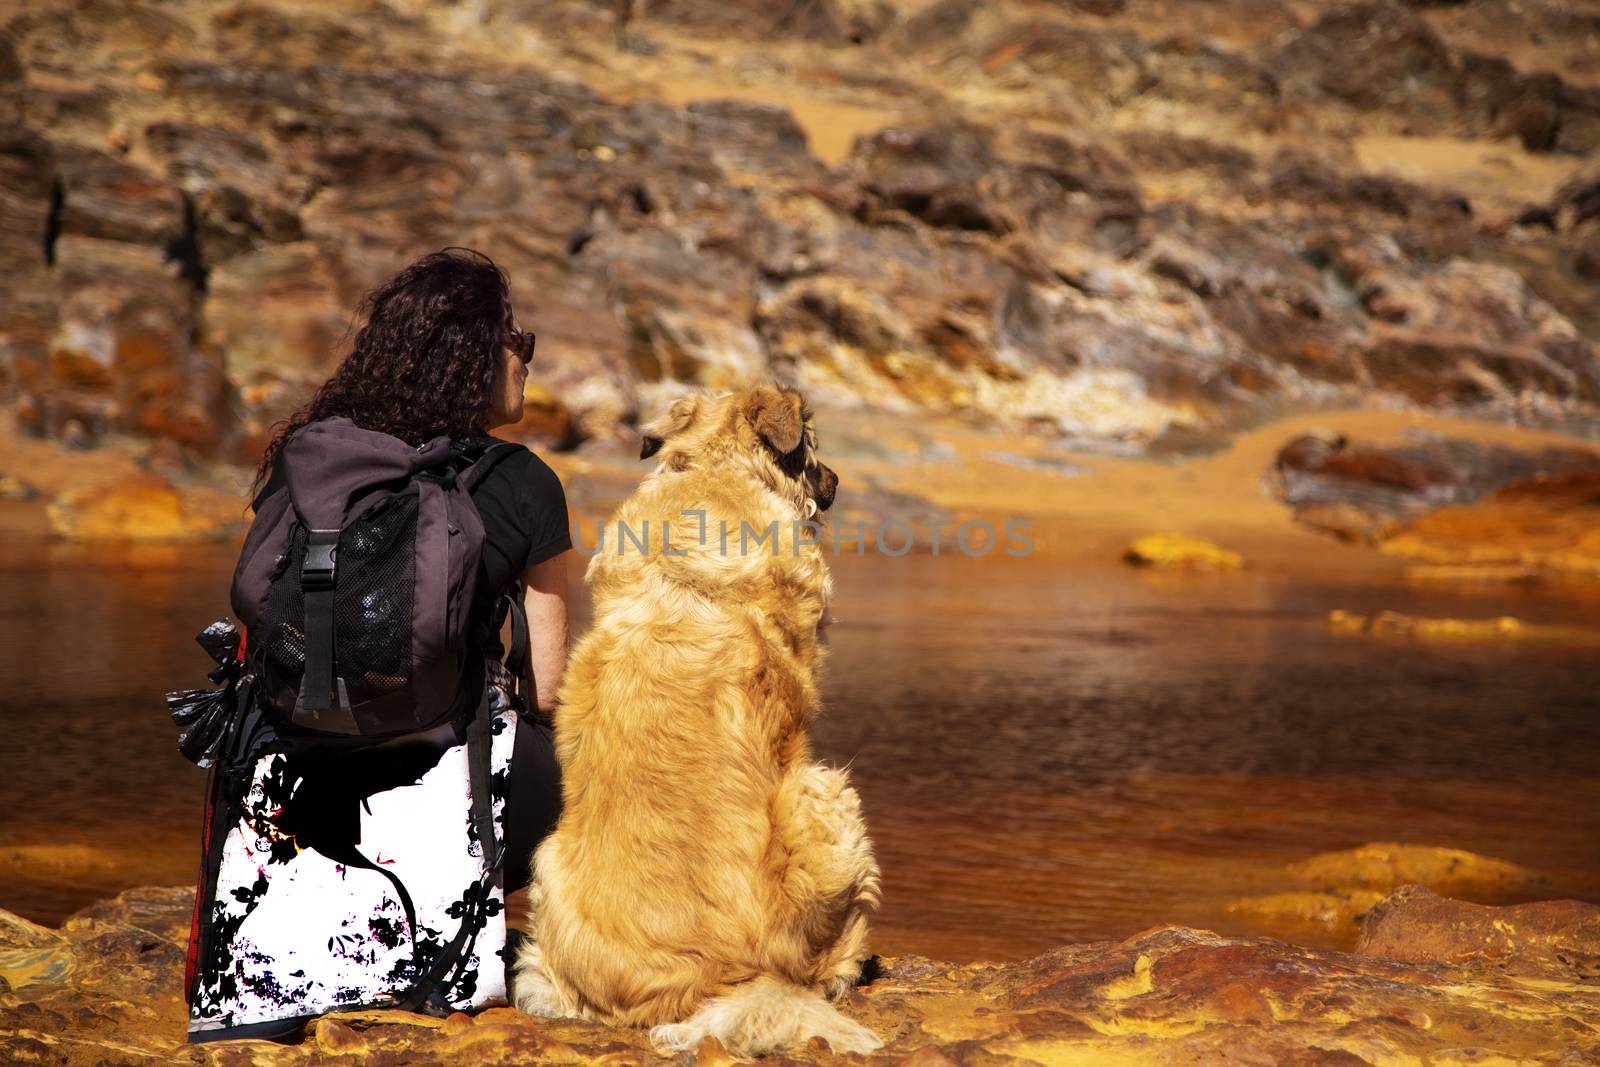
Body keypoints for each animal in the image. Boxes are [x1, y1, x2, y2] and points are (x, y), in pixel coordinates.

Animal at [512, 385, 883, 1062]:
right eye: (814, 445)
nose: (838, 479)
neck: (715, 468)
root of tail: (724, 980)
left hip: (547, 870)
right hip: (827, 791)